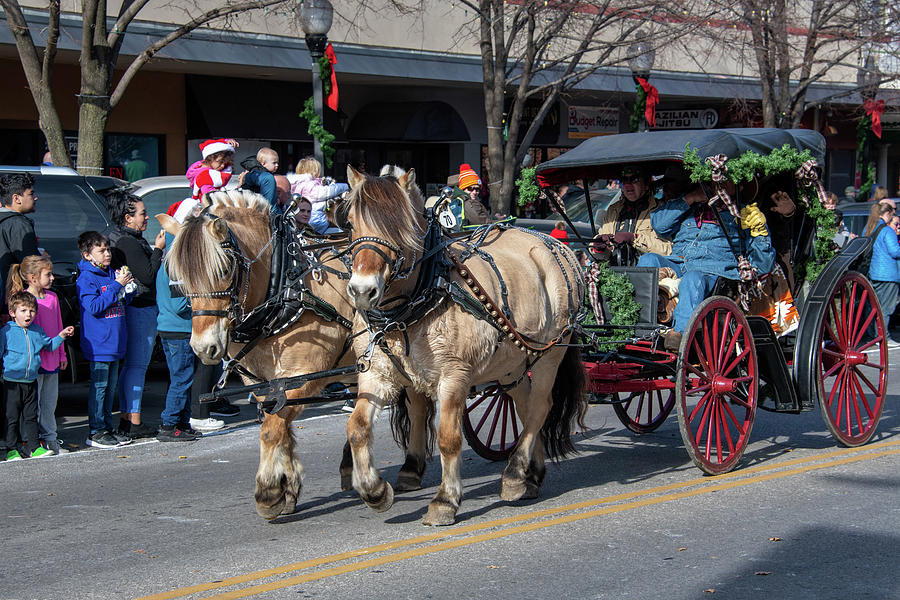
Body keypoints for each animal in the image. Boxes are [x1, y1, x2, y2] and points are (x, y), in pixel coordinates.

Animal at [160, 190, 434, 516]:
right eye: (179, 280)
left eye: (224, 270)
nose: (204, 348)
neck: (283, 286)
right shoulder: (262, 383)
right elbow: (281, 426)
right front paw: (287, 486)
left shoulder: (304, 375)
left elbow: (271, 428)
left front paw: (268, 491)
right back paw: (350, 466)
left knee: (417, 405)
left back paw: (410, 468)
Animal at [342, 168, 588, 524]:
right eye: (350, 222)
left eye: (400, 226)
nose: (362, 290)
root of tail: (559, 245)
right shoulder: (377, 375)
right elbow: (357, 427)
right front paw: (373, 491)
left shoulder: (454, 376)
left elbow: (449, 438)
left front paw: (445, 500)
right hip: (512, 362)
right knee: (526, 407)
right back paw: (531, 475)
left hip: (550, 353)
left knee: (541, 406)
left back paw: (514, 475)